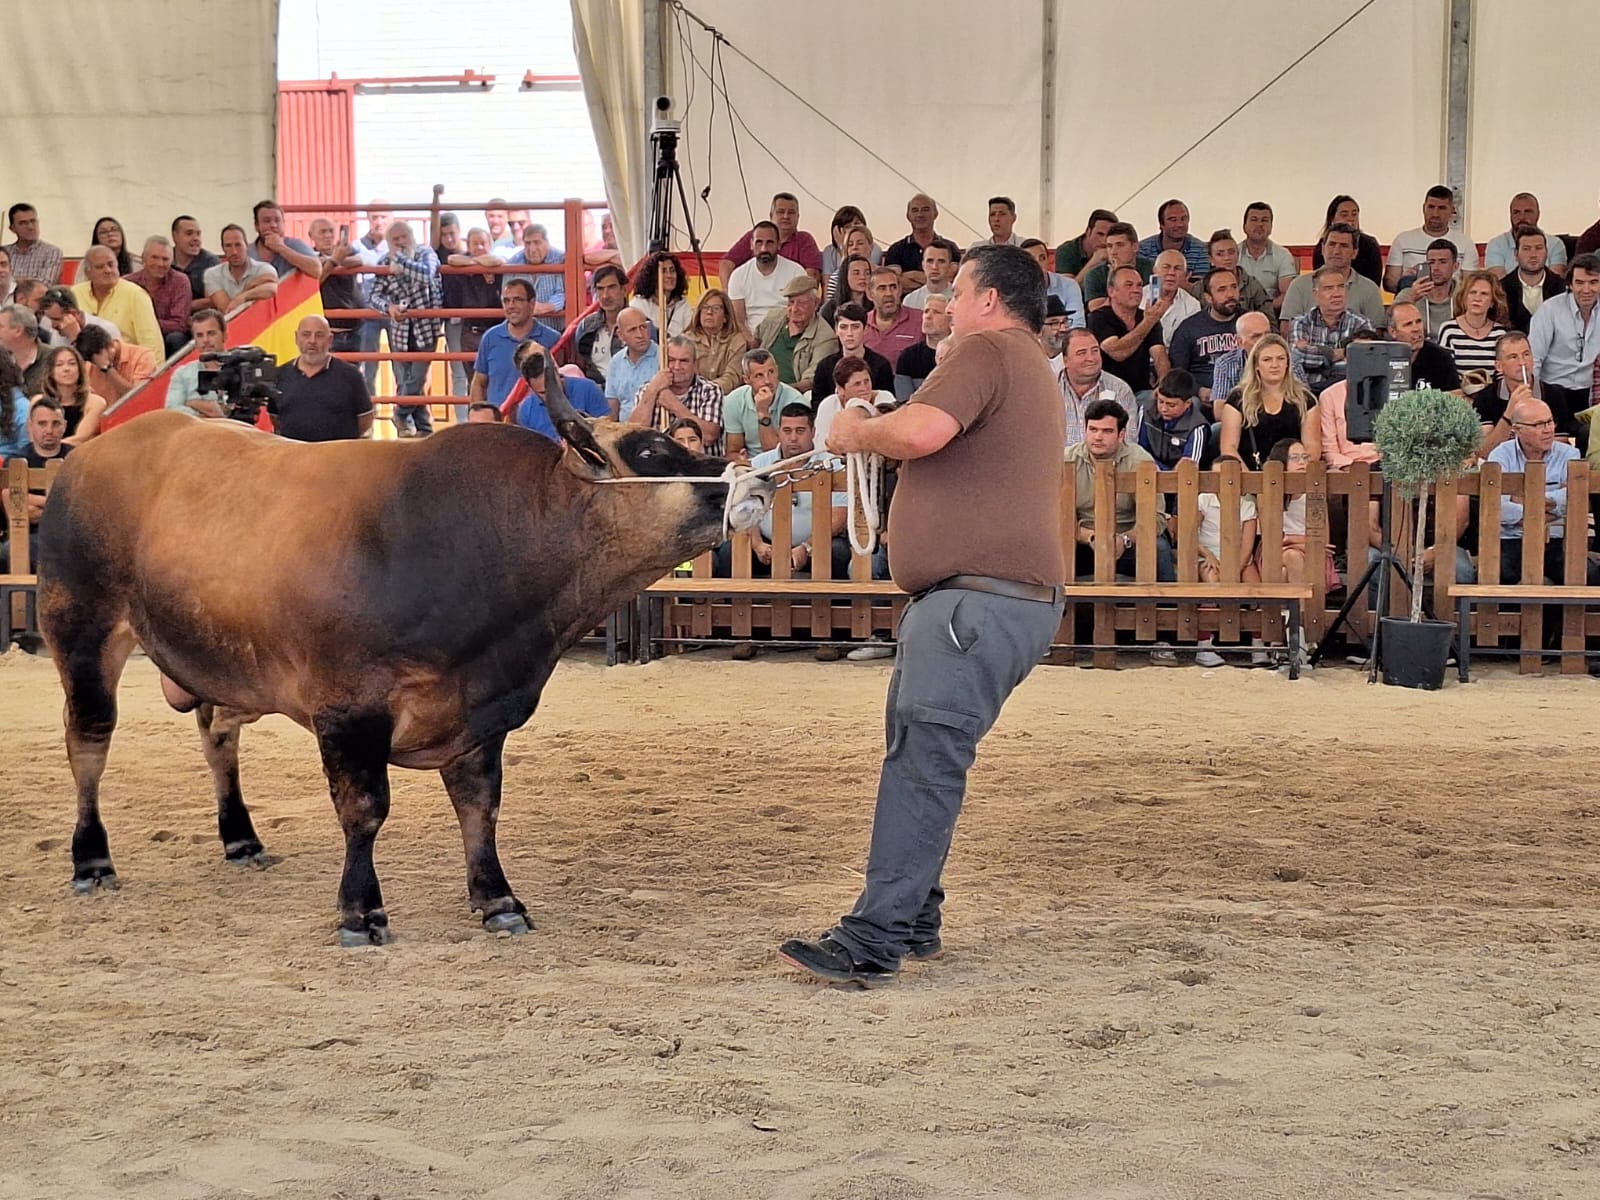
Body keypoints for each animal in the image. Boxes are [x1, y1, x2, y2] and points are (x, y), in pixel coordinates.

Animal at [37, 361, 774, 947]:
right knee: (88, 742)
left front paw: (497, 900)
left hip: (223, 661)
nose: (758, 481)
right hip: (81, 628)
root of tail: (89, 455)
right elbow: (364, 811)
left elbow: (480, 807)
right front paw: (360, 912)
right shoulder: (348, 709)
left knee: (217, 735)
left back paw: (240, 839)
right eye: (650, 448)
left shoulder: (479, 713)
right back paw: (91, 862)